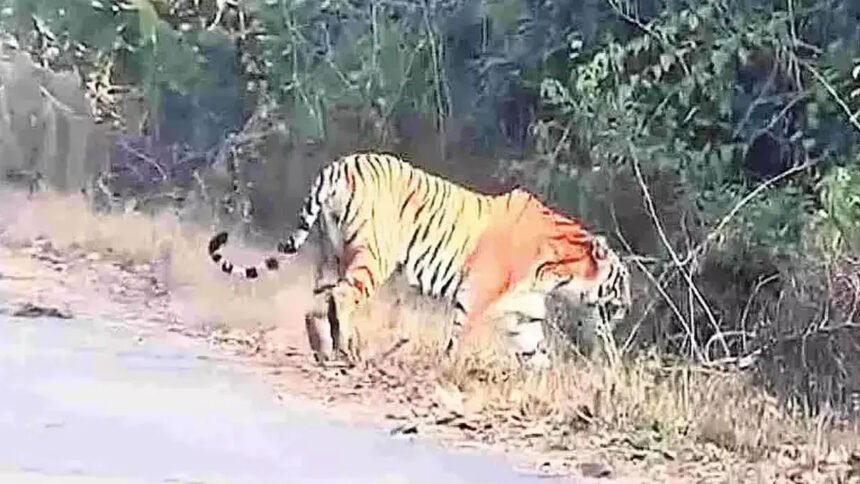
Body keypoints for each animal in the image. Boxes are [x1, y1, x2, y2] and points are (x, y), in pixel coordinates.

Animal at [206, 152, 631, 368]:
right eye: (622, 282)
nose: (627, 307)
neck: (559, 275)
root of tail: (339, 166)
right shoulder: (476, 297)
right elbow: (459, 338)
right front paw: (447, 372)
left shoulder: (524, 315)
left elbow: (537, 356)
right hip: (373, 258)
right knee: (340, 299)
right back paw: (345, 351)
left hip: (330, 254)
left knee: (318, 301)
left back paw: (324, 351)